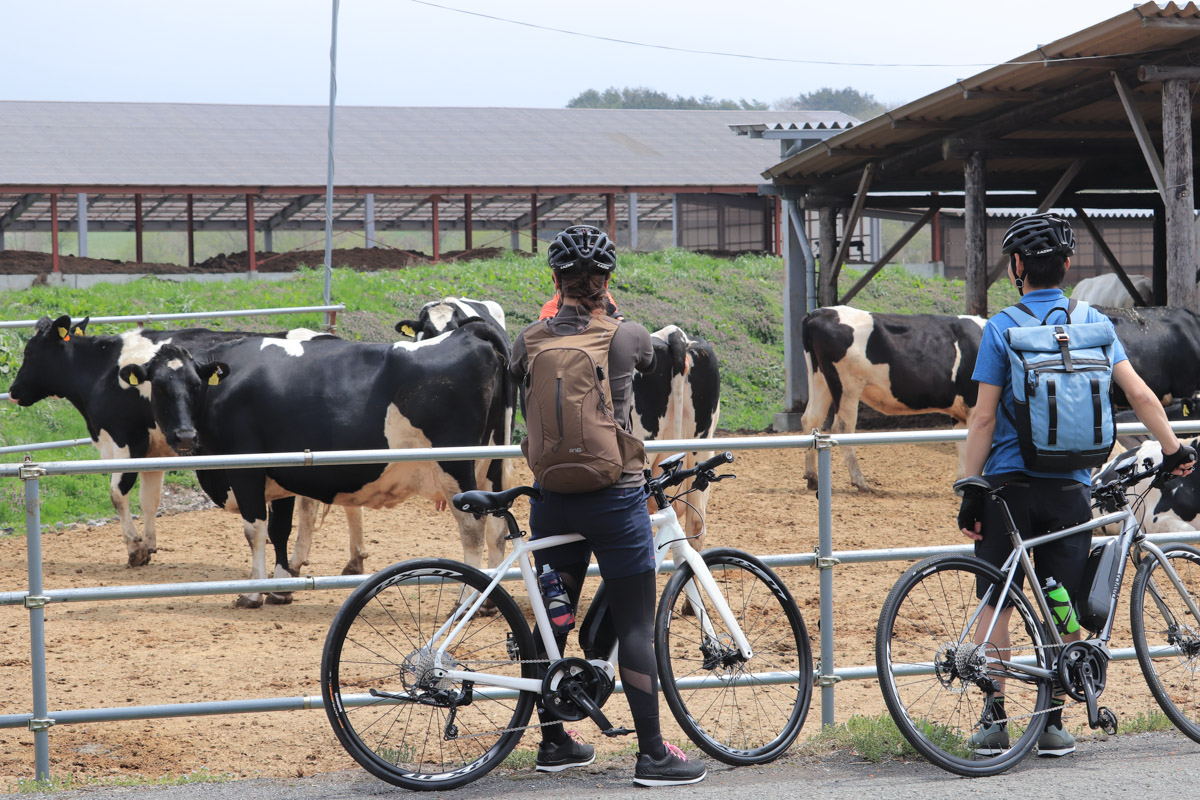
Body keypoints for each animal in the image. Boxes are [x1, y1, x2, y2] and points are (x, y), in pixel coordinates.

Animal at [160, 319, 511, 606]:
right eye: (157, 383)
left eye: (195, 385)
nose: (183, 435)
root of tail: (468, 332)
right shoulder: (280, 472)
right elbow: (280, 529)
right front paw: (281, 588)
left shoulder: (246, 470)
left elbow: (255, 530)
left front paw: (252, 594)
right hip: (491, 466)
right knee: (497, 525)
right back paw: (489, 603)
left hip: (455, 466)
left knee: (472, 527)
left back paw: (467, 601)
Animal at [796, 307, 984, 491]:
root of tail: (820, 312)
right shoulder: (973, 402)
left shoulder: (960, 409)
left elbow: (963, 445)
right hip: (847, 387)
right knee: (842, 428)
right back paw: (860, 481)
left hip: (820, 380)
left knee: (811, 419)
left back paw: (812, 478)